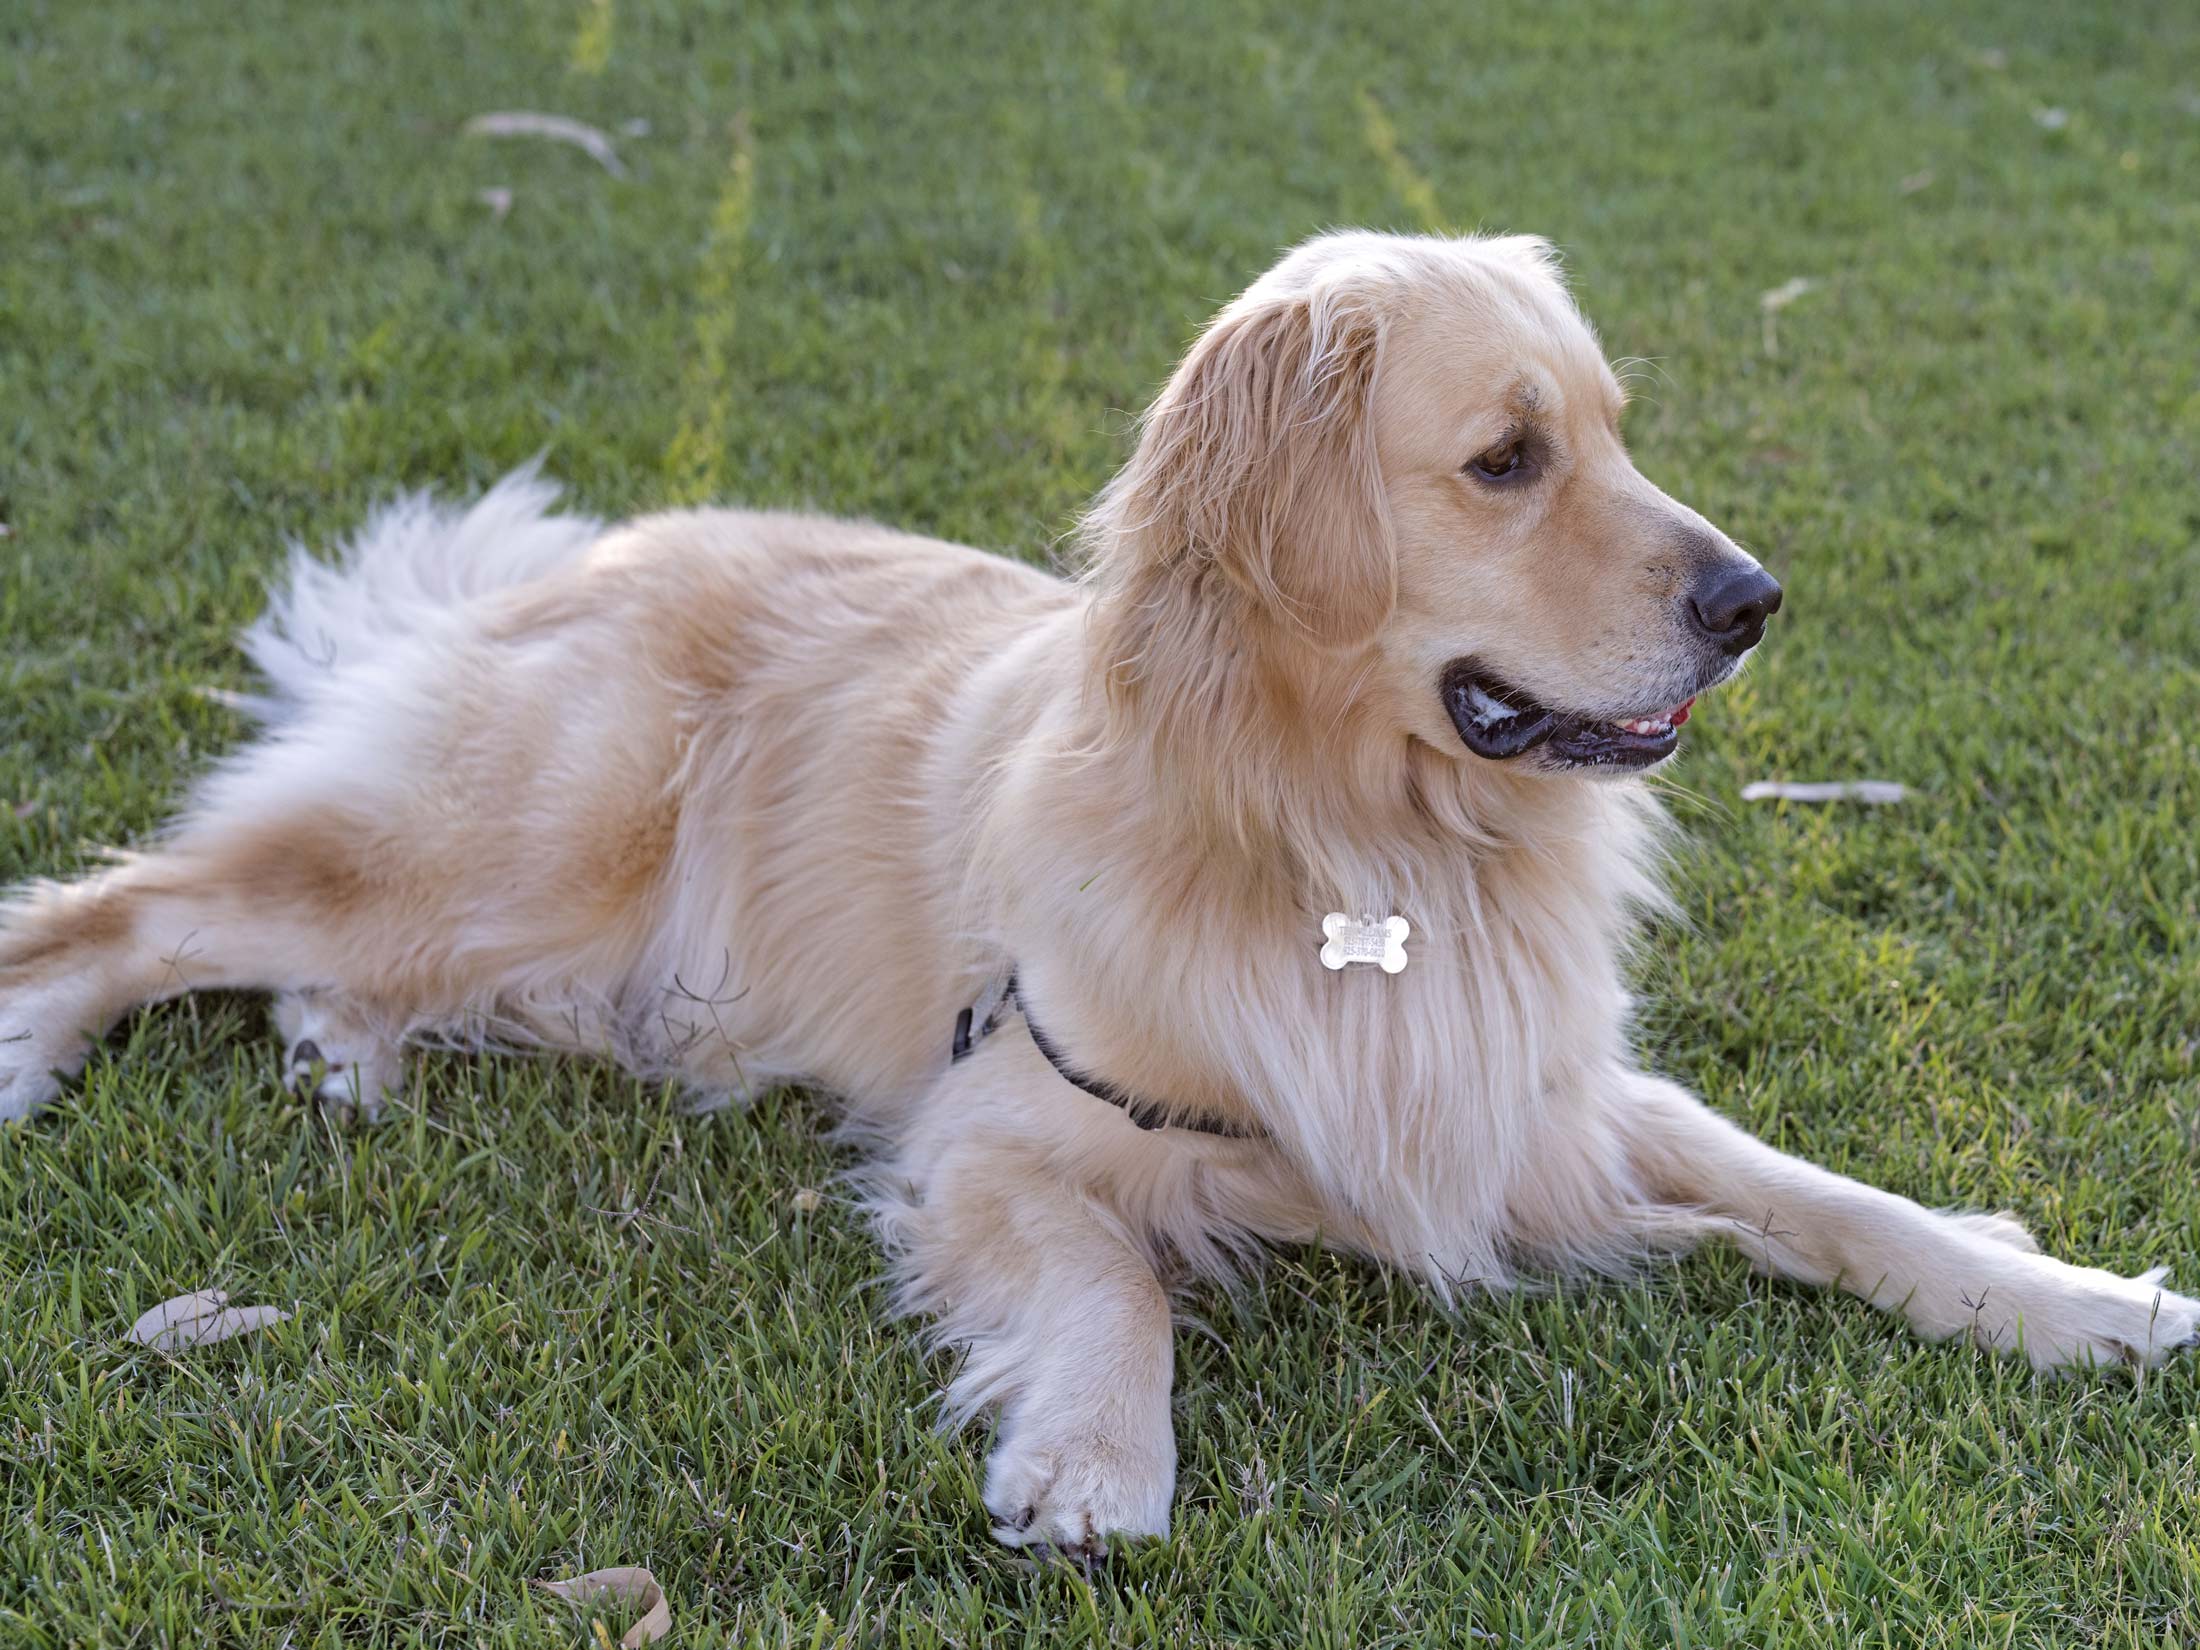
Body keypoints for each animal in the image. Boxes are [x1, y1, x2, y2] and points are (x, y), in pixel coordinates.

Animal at [3, 231, 2193, 1556]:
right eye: (1505, 459)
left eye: (1616, 435)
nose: (1754, 602)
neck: (1365, 844)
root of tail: (572, 563)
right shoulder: (995, 1121)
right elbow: (1105, 1274)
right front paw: (1090, 1457)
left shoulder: (1545, 1098)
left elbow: (1831, 1198)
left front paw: (2079, 1302)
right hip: (519, 858)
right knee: (126, 910)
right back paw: (62, 1044)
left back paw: (341, 1061)